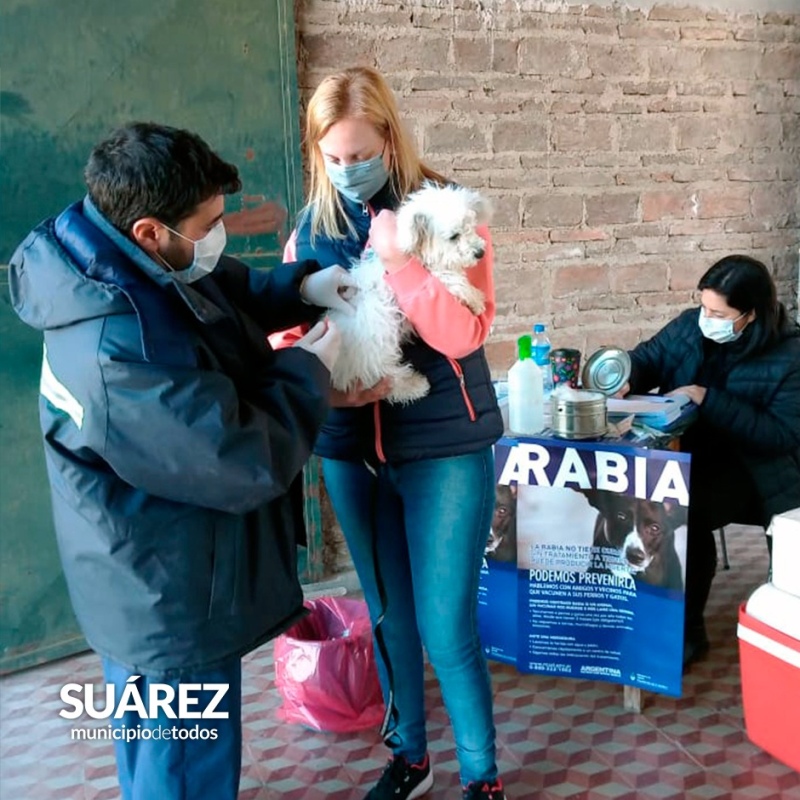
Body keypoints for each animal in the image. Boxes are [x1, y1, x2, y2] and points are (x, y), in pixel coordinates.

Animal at [328, 184, 490, 404]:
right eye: (454, 236)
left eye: (471, 226)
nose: (480, 253)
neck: (416, 251)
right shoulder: (429, 272)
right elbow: (448, 277)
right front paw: (475, 299)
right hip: (379, 333)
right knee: (386, 378)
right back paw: (415, 386)